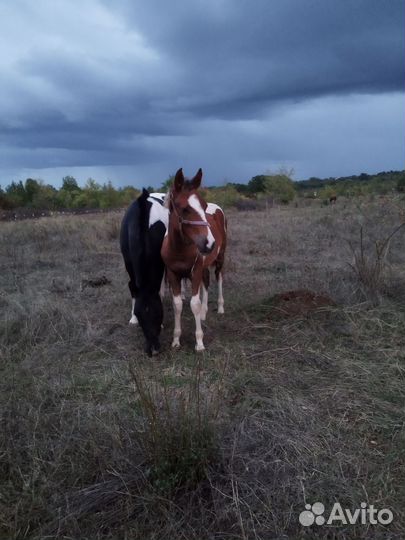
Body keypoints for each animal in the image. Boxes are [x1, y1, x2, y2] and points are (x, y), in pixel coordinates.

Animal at [119, 189, 166, 354]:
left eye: (159, 314)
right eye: (139, 316)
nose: (152, 350)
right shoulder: (128, 261)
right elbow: (133, 287)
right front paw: (132, 318)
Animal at [159, 170, 226, 354]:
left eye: (203, 206)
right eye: (184, 208)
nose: (209, 243)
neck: (179, 250)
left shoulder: (194, 272)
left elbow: (194, 304)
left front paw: (199, 342)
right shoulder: (173, 274)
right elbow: (177, 305)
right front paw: (176, 340)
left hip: (220, 258)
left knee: (219, 278)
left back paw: (220, 307)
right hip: (204, 265)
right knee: (206, 282)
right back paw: (203, 313)